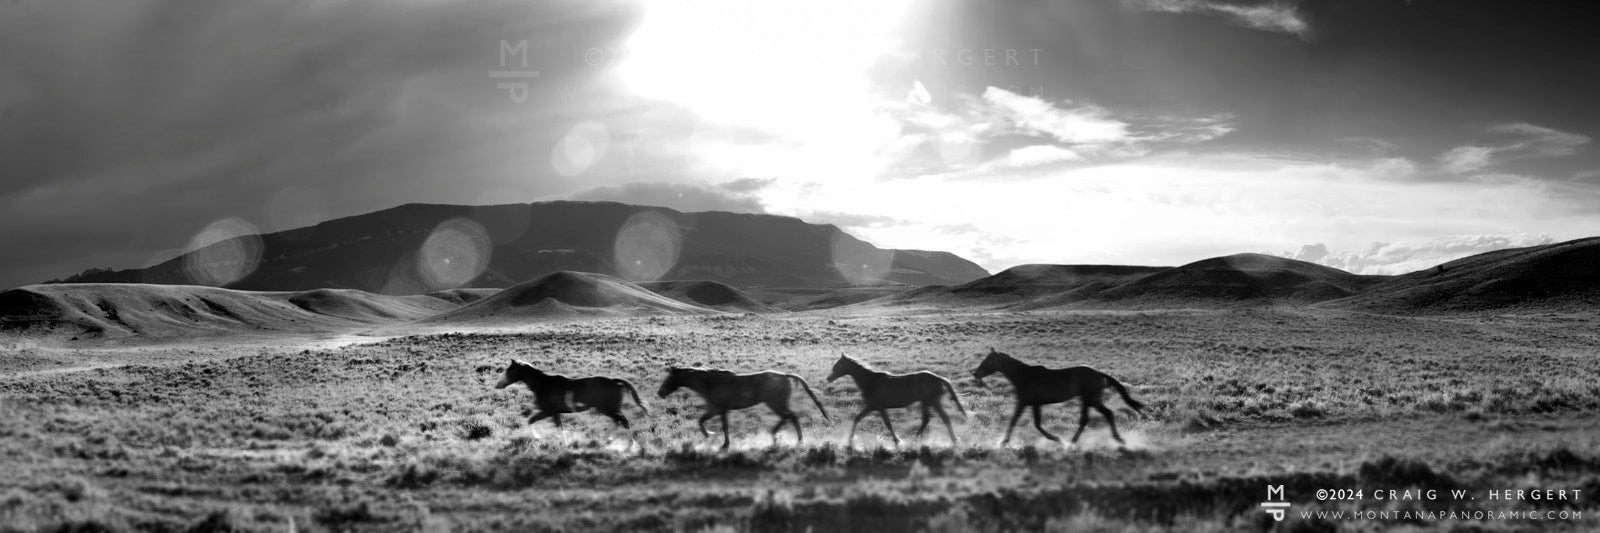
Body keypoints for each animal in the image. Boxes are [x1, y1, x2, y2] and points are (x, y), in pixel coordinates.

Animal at [496, 358, 652, 441]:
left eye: (510, 370)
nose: (498, 384)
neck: (544, 385)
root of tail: (615, 381)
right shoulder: (554, 413)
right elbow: (553, 426)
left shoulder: (548, 411)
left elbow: (532, 421)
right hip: (608, 409)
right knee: (618, 422)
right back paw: (608, 438)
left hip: (608, 409)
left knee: (623, 421)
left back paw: (629, 442)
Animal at [656, 364, 832, 448]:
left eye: (669, 378)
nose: (660, 393)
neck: (709, 383)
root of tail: (784, 375)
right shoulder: (716, 409)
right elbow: (704, 421)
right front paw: (716, 439)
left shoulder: (719, 409)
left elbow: (720, 426)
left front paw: (715, 439)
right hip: (777, 403)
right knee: (789, 416)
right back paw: (783, 436)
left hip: (775, 403)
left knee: (790, 416)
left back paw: (787, 438)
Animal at [825, 355, 960, 444]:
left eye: (838, 365)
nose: (828, 378)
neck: (871, 381)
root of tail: (939, 378)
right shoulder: (873, 407)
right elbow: (857, 418)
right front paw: (850, 438)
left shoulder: (877, 406)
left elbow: (887, 424)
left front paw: (897, 440)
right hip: (926, 402)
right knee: (926, 420)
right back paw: (915, 438)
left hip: (933, 402)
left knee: (944, 418)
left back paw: (954, 439)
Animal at [966, 348, 1145, 444]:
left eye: (989, 360)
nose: (976, 374)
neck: (1024, 376)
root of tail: (1099, 373)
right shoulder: (1026, 403)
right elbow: (1016, 421)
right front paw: (1004, 442)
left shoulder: (1031, 403)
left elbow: (1035, 424)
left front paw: (1056, 439)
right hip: (1088, 400)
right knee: (1088, 419)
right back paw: (1074, 442)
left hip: (1091, 399)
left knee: (1105, 414)